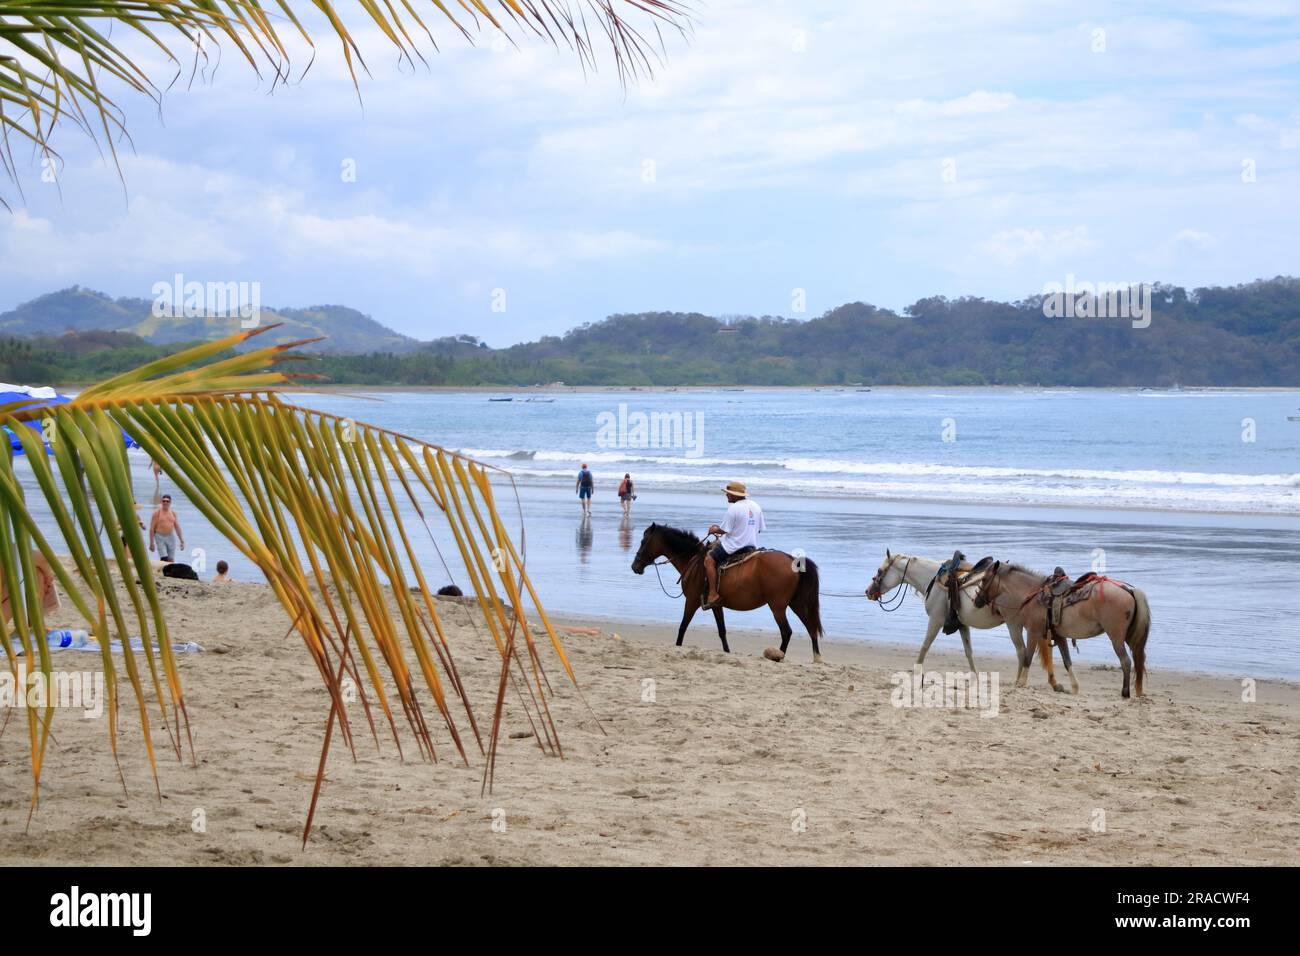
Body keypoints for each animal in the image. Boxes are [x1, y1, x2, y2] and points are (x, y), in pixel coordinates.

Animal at [629, 522, 821, 665]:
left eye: (643, 541)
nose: (635, 566)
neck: (693, 560)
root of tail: (793, 560)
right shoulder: (716, 605)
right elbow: (722, 631)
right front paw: (727, 654)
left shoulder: (691, 601)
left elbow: (682, 627)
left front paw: (677, 647)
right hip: (797, 604)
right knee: (811, 628)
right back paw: (817, 657)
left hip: (778, 607)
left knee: (786, 632)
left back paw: (779, 657)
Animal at [868, 548, 1029, 686]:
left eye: (880, 570)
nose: (868, 591)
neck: (932, 579)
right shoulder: (962, 625)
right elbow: (968, 652)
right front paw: (975, 678)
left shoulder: (935, 620)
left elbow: (925, 646)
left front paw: (917, 674)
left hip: (1015, 625)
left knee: (1022, 651)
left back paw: (1019, 682)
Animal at [972, 556, 1154, 697]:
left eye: (984, 579)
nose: (976, 600)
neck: (1033, 594)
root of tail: (1129, 591)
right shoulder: (1059, 636)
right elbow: (1067, 661)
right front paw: (1074, 687)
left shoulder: (1033, 632)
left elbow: (1028, 657)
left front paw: (1022, 682)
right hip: (1130, 637)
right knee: (1137, 660)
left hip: (1116, 637)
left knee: (1126, 661)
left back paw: (1125, 692)